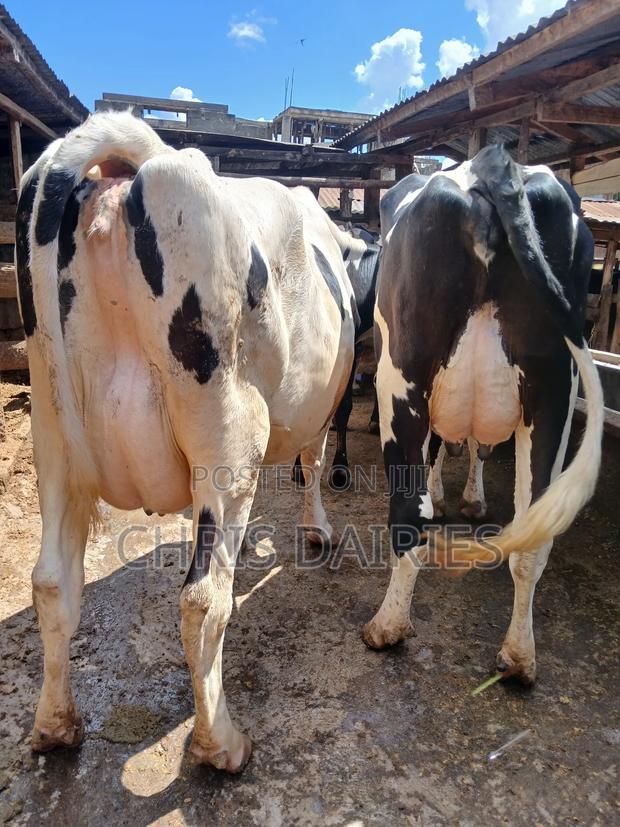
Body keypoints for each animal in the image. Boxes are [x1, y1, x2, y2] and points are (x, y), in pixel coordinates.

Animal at [17, 111, 358, 772]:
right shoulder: (321, 405)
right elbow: (313, 459)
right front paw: (318, 528)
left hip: (52, 436)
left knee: (53, 584)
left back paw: (55, 725)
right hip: (229, 436)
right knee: (202, 600)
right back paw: (220, 743)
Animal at [363, 145, 603, 685]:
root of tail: (495, 164)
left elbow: (440, 454)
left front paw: (447, 495)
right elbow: (475, 448)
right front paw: (470, 499)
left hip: (401, 381)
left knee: (408, 519)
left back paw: (386, 627)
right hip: (554, 391)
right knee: (534, 532)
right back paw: (519, 658)